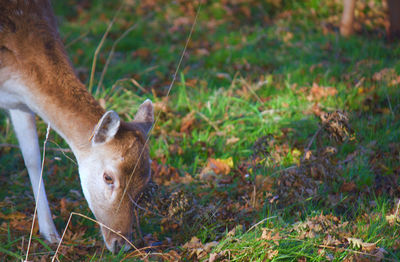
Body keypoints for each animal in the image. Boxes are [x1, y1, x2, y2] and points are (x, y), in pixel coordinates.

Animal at [0, 0, 154, 254]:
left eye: (144, 183)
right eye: (108, 178)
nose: (121, 243)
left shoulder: (20, 103)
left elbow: (33, 158)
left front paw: (51, 235)